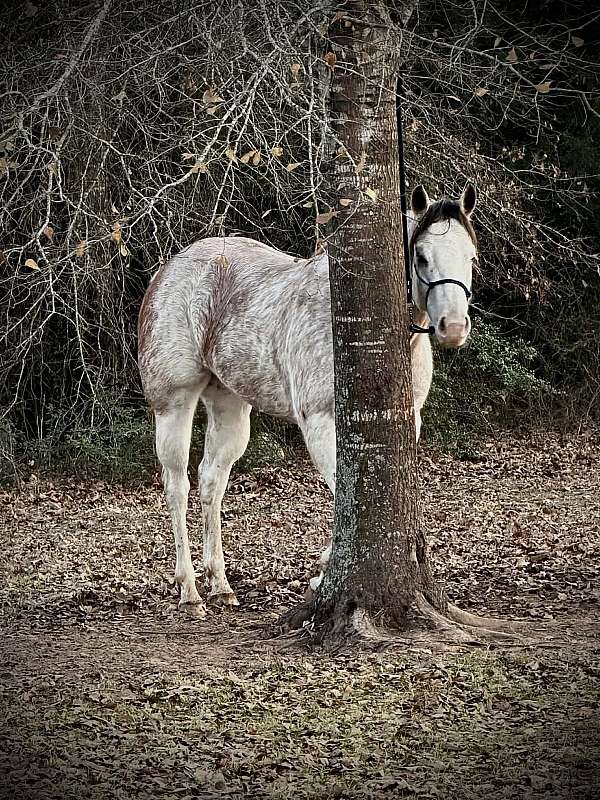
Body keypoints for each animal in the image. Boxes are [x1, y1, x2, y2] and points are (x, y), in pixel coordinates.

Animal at [138, 184, 478, 616]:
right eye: (420, 257)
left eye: (471, 256)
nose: (453, 328)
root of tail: (169, 269)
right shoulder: (320, 423)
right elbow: (342, 490)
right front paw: (324, 570)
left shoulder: (405, 421)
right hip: (174, 405)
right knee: (177, 485)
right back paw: (190, 589)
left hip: (229, 406)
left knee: (211, 481)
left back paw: (221, 584)